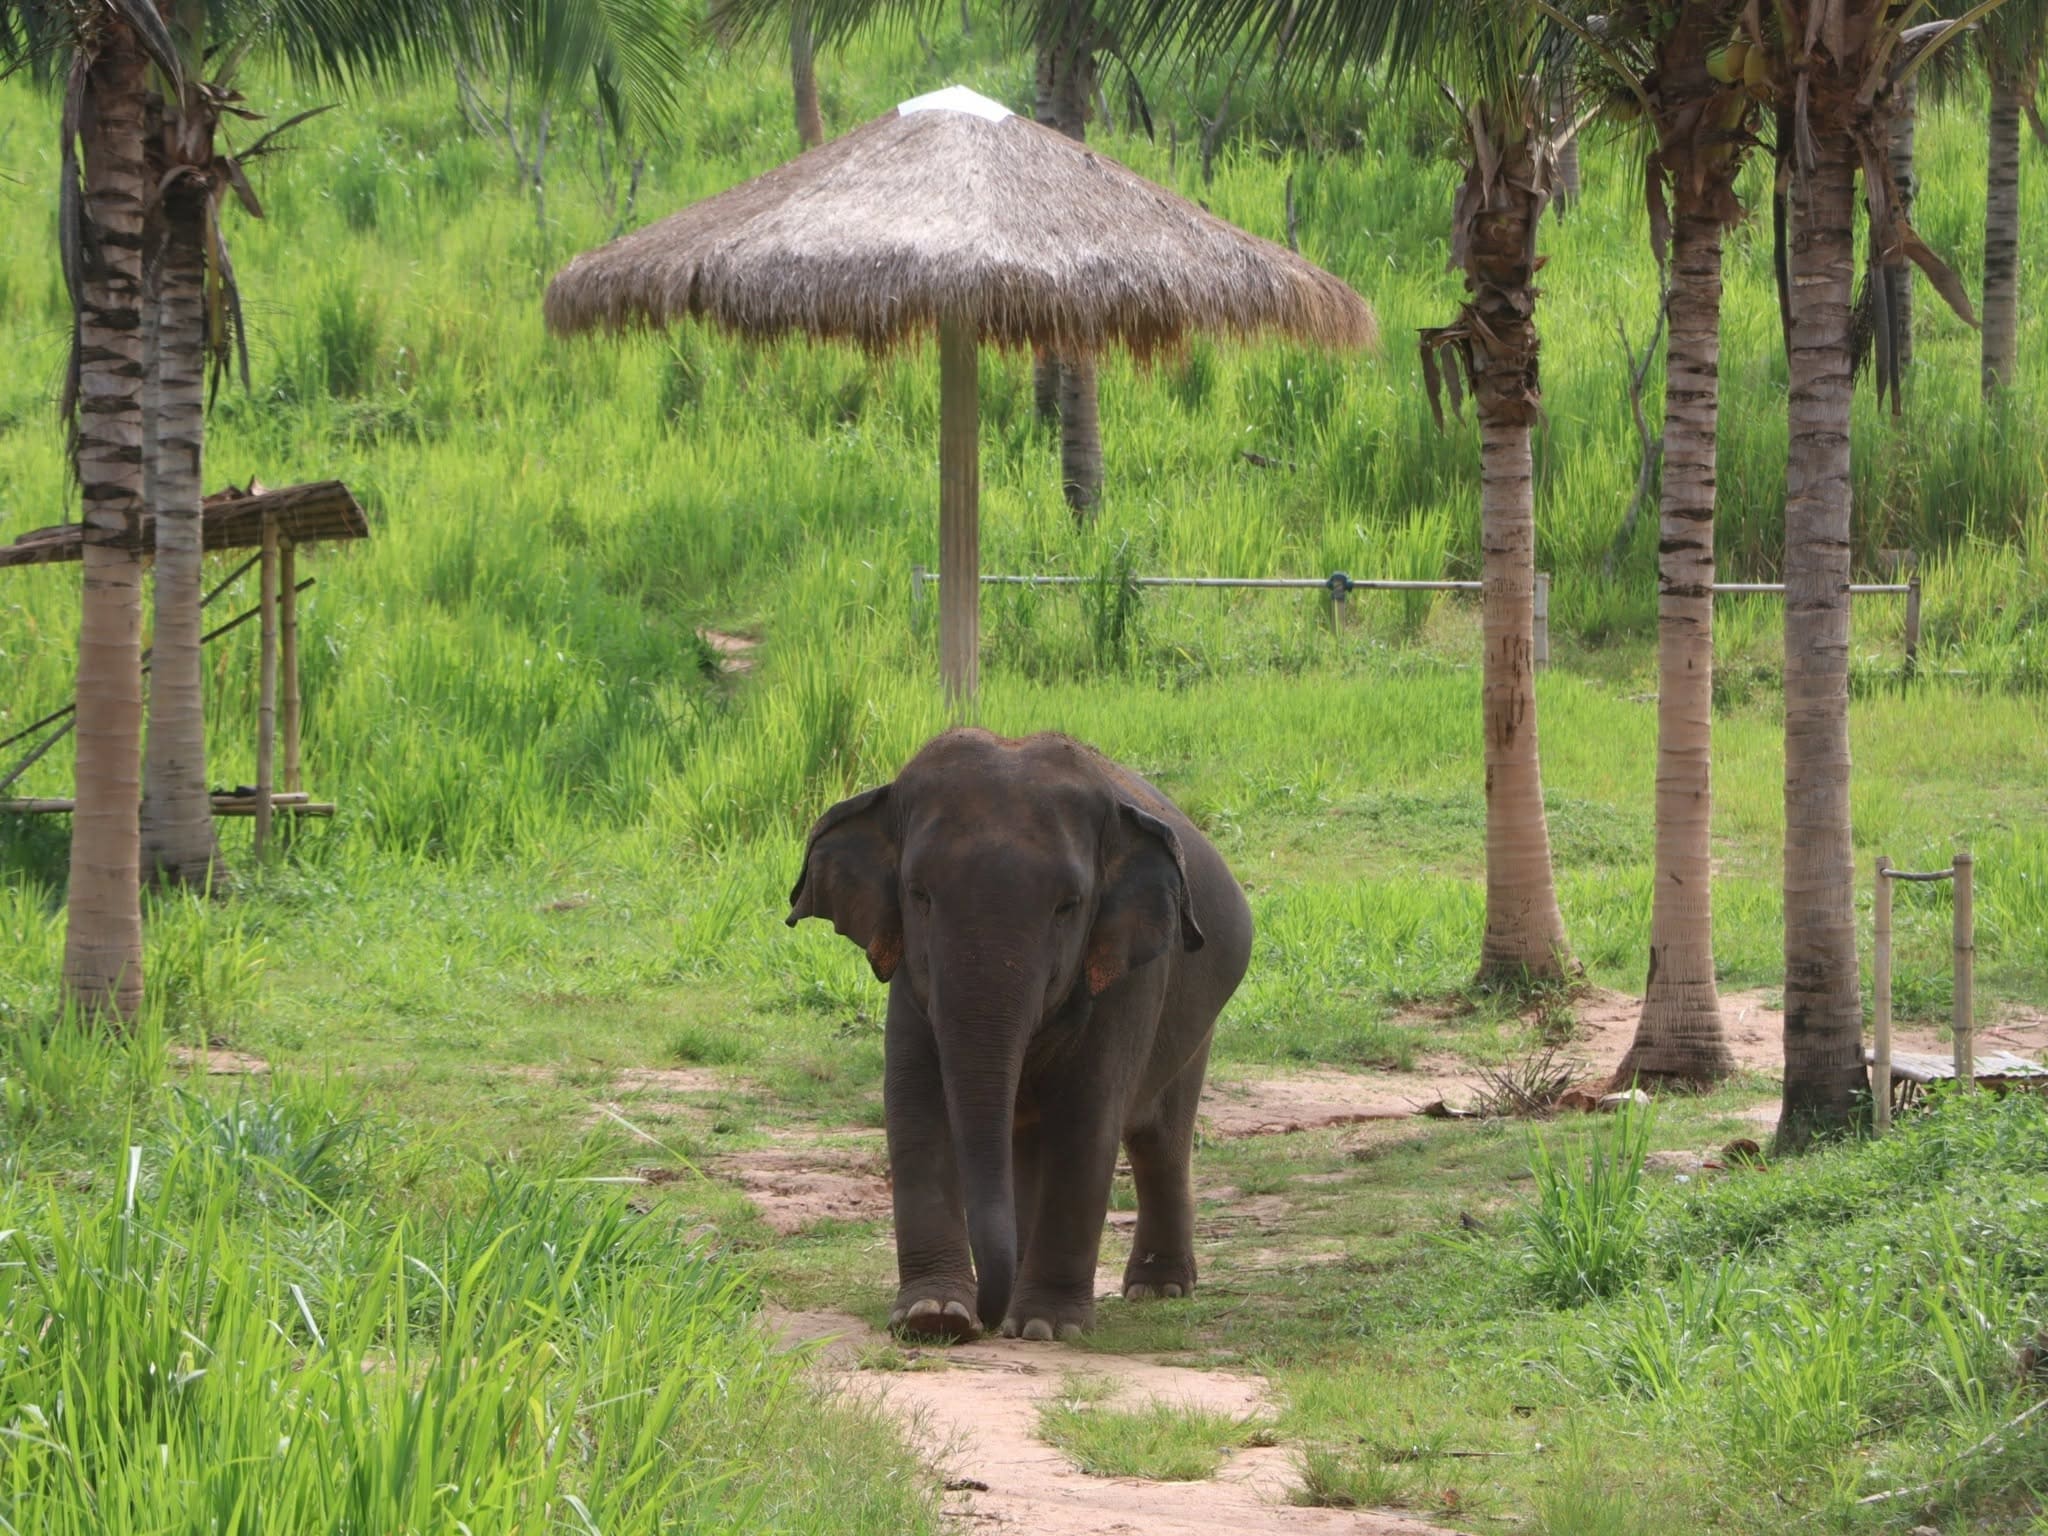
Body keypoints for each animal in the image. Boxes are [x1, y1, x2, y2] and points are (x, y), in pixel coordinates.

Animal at [787, 728, 1252, 1342]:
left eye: (1068, 906)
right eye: (919, 894)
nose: (986, 1316)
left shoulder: (1130, 976)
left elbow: (1087, 1121)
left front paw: (1044, 1328)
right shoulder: (911, 981)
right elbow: (913, 1108)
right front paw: (933, 1317)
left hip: (1197, 1023)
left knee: (1160, 1140)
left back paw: (1159, 1290)